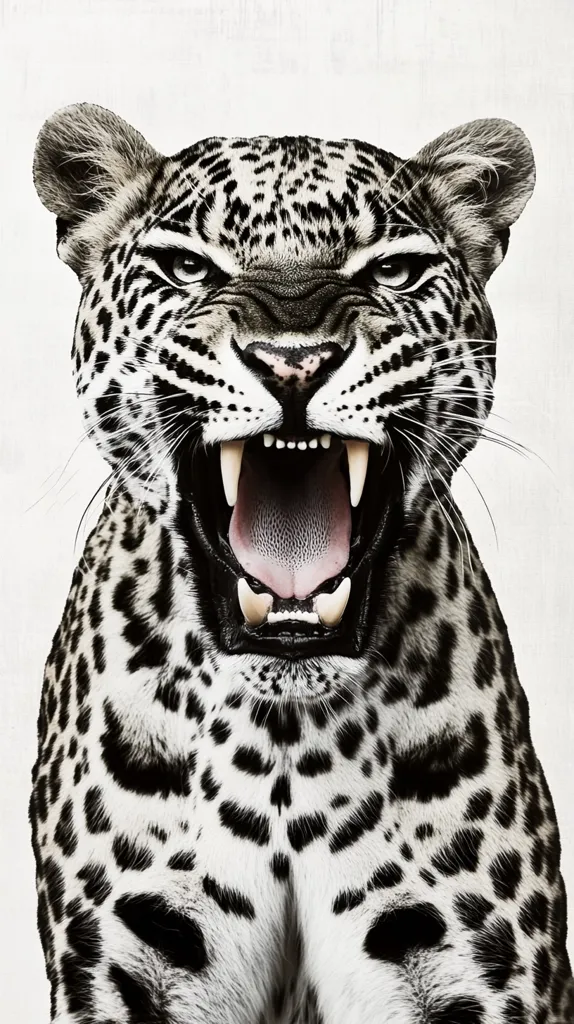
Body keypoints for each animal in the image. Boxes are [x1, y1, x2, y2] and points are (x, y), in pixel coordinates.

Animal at [29, 102, 573, 1024]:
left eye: (394, 271)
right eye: (186, 267)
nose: (294, 360)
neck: (284, 743)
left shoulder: (476, 965)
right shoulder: (127, 965)